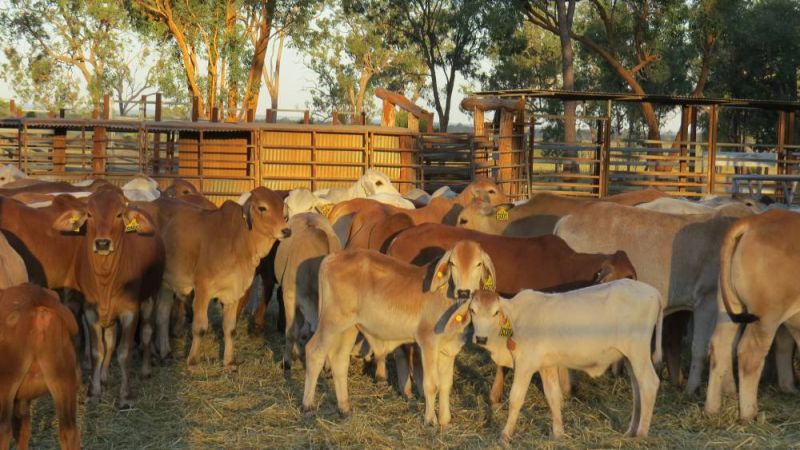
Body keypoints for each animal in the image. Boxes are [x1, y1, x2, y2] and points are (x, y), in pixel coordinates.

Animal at [155, 187, 289, 367]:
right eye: (262, 208)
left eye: (282, 209)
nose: (286, 230)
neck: (238, 239)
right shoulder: (202, 288)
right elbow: (200, 327)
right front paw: (193, 359)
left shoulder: (234, 291)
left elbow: (229, 328)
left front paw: (228, 360)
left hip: (167, 284)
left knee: (162, 315)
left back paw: (165, 352)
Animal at [303, 241, 492, 426]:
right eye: (452, 263)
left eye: (478, 264)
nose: (464, 292)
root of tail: (331, 258)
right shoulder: (428, 343)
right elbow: (431, 385)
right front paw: (430, 421)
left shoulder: (449, 350)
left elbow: (446, 386)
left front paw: (445, 421)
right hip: (331, 322)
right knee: (314, 352)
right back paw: (308, 406)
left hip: (349, 327)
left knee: (339, 360)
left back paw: (345, 408)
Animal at [468, 282, 662, 441]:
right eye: (472, 310)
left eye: (495, 312)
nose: (481, 338)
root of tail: (654, 291)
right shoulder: (547, 365)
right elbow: (553, 396)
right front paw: (558, 434)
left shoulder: (525, 364)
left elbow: (516, 398)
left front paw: (505, 435)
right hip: (630, 358)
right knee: (637, 391)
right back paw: (631, 432)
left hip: (638, 352)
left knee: (649, 384)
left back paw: (641, 434)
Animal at [705, 209, 800, 421]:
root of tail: (756, 220)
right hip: (766, 316)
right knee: (749, 354)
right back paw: (749, 414)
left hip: (728, 309)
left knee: (720, 347)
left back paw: (711, 408)